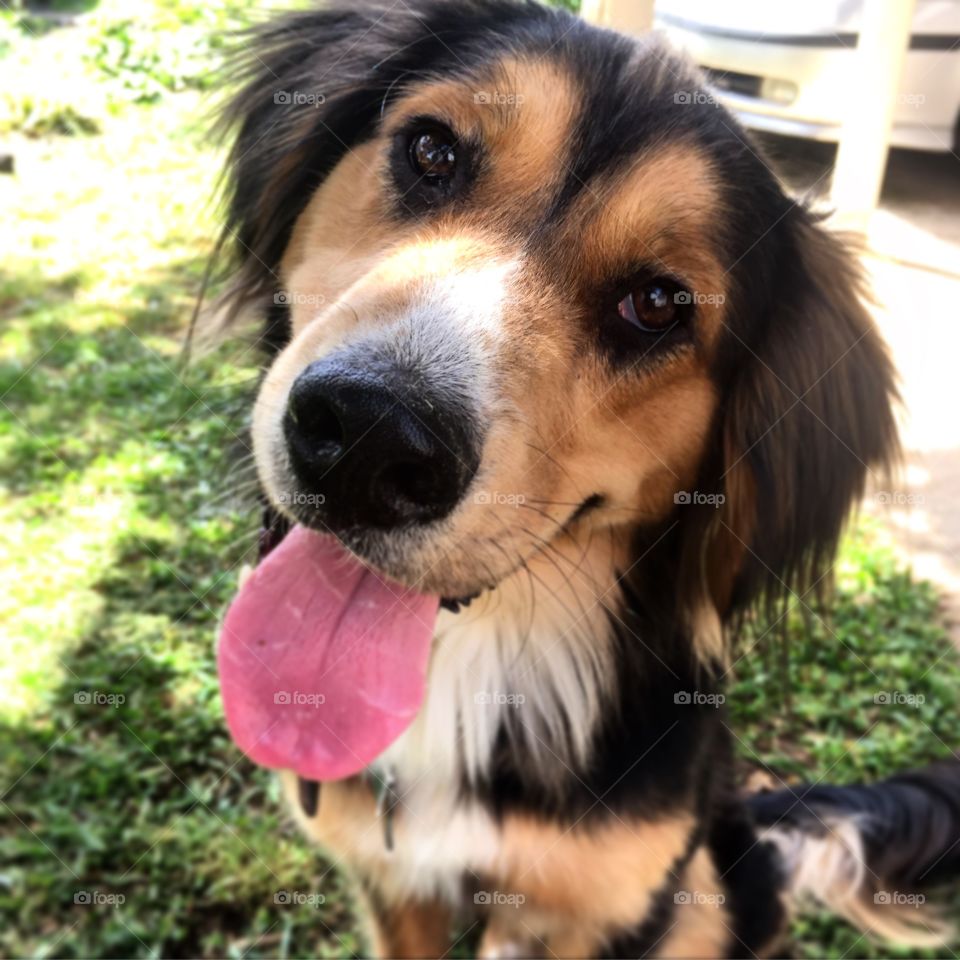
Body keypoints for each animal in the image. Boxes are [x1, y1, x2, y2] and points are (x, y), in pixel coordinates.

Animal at [210, 3, 960, 956]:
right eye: (430, 151)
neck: (477, 660)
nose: (370, 441)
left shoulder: (618, 905)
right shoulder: (386, 881)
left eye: (657, 304)